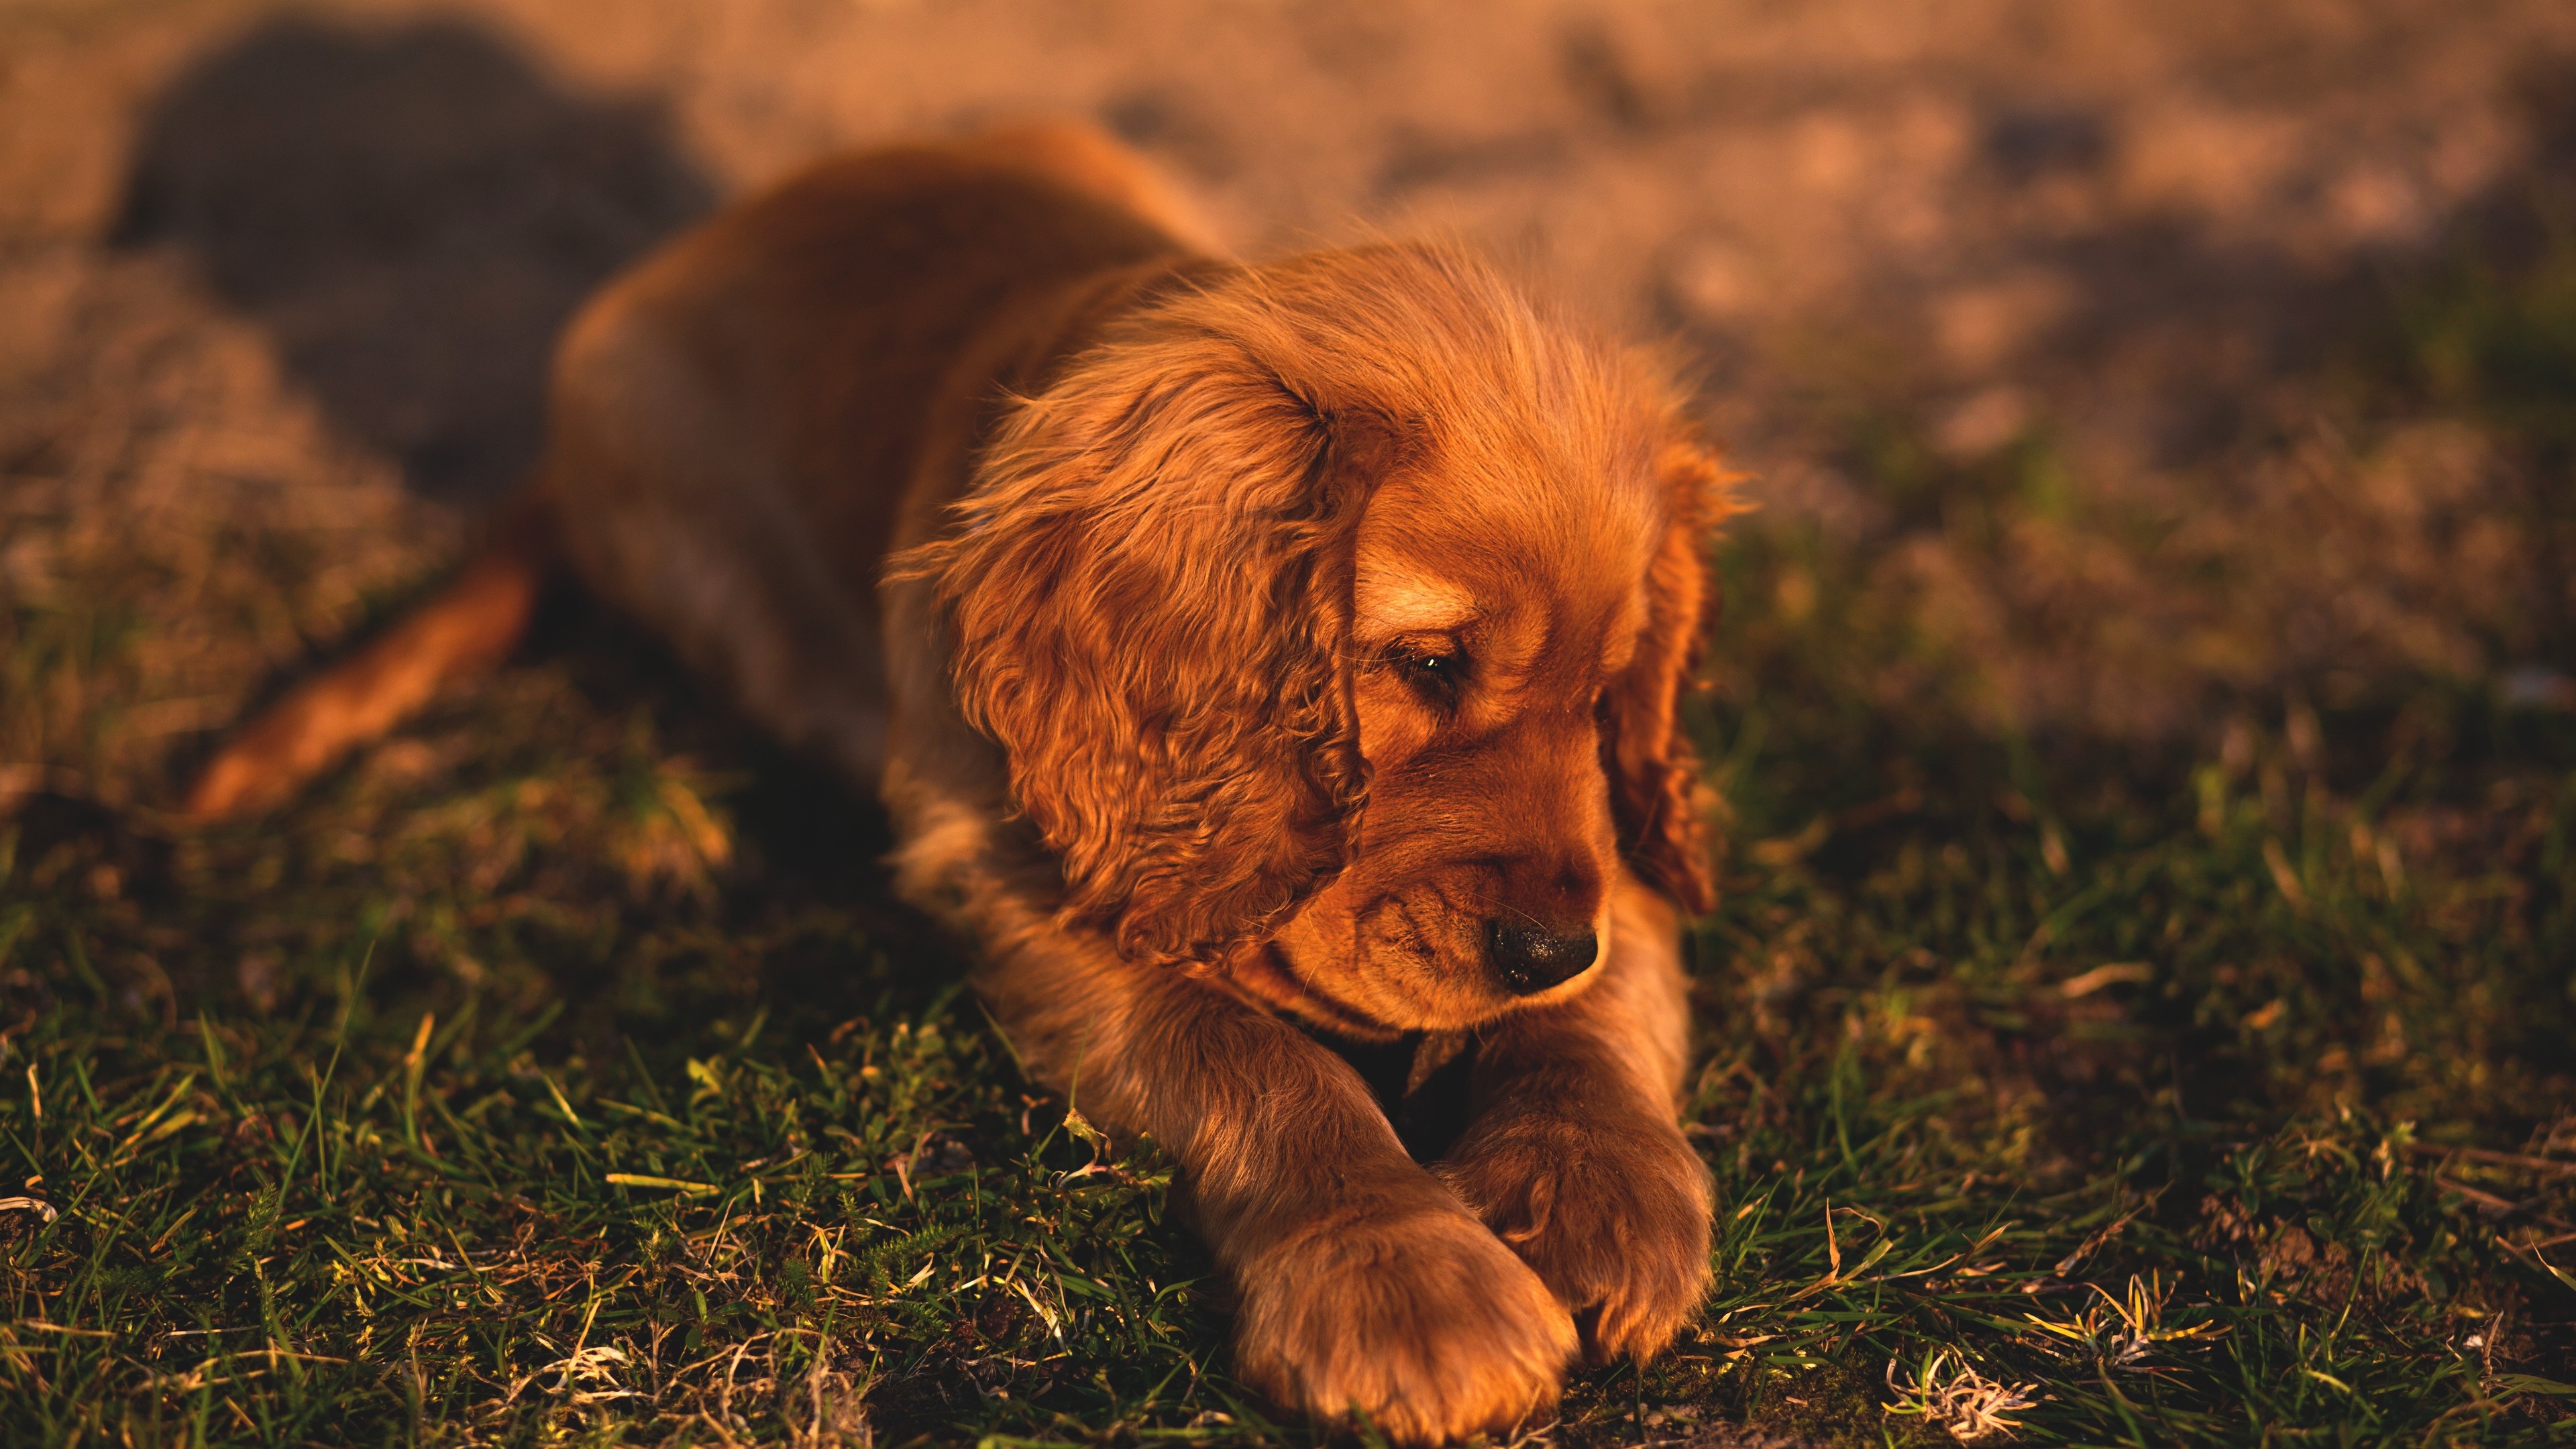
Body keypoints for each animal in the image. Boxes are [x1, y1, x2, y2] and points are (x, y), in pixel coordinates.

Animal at [191, 123, 1731, 1433]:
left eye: (1609, 695)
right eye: (1424, 664)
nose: (1542, 946)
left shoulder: (1615, 856)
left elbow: (1602, 995)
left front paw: (1598, 1189)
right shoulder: (1013, 874)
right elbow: (1253, 1055)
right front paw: (1406, 1285)